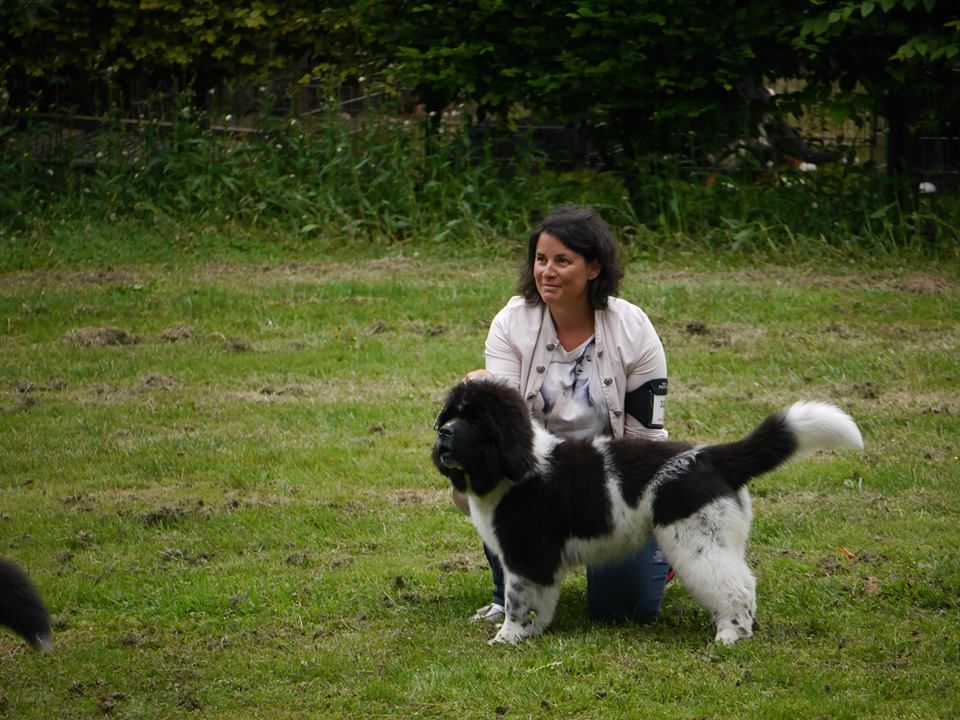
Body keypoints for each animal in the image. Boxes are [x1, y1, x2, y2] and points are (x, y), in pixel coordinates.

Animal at [436, 380, 864, 644]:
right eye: (450, 415)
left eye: (475, 420)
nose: (442, 433)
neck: (516, 465)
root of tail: (711, 456)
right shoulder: (536, 560)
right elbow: (537, 601)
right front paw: (532, 630)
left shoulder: (528, 552)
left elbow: (518, 598)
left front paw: (507, 637)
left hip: (695, 539)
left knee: (735, 586)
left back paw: (730, 635)